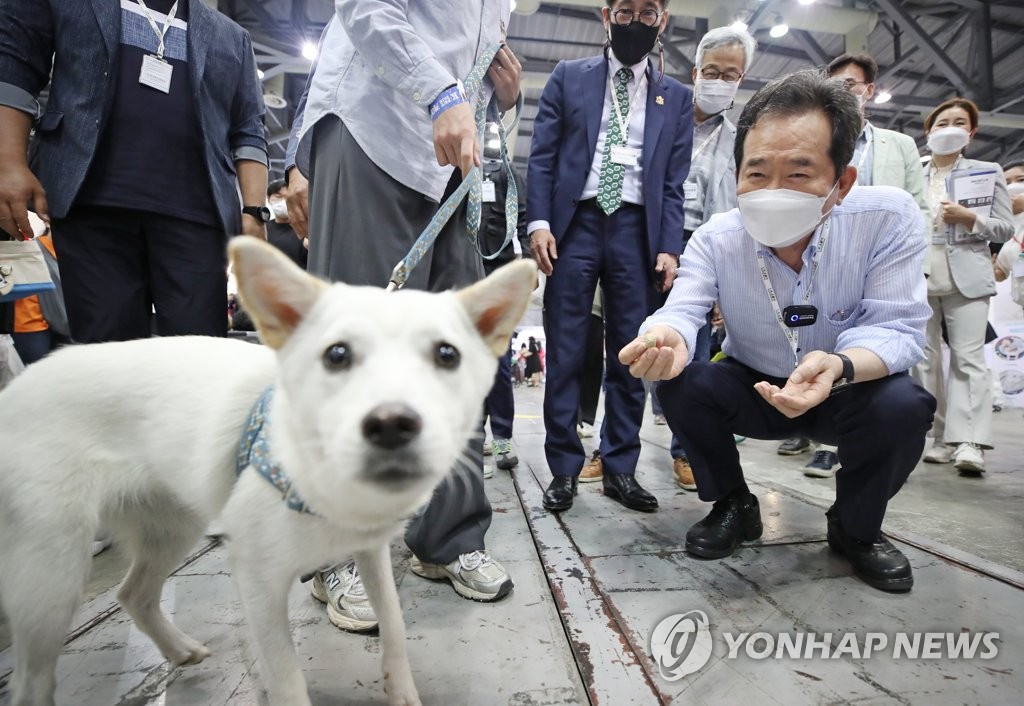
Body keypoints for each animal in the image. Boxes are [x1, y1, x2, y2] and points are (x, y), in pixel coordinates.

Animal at [0, 237, 540, 704]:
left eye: (447, 354)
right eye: (337, 354)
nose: (391, 424)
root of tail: (16, 388)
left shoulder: (371, 552)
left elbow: (395, 627)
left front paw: (402, 692)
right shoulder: (258, 582)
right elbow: (286, 678)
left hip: (171, 527)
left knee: (133, 594)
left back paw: (179, 649)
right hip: (53, 575)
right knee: (32, 679)